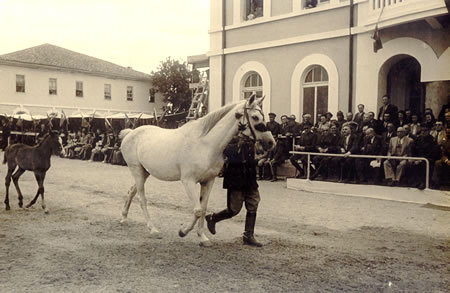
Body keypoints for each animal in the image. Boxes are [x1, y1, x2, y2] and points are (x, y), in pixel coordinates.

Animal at [118, 94, 274, 245]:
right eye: (255, 117)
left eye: (263, 116)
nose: (271, 142)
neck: (206, 144)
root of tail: (130, 133)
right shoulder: (188, 181)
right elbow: (198, 210)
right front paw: (183, 231)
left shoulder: (208, 181)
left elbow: (203, 209)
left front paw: (203, 238)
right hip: (137, 171)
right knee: (142, 199)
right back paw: (153, 229)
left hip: (145, 172)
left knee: (131, 192)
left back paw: (124, 218)